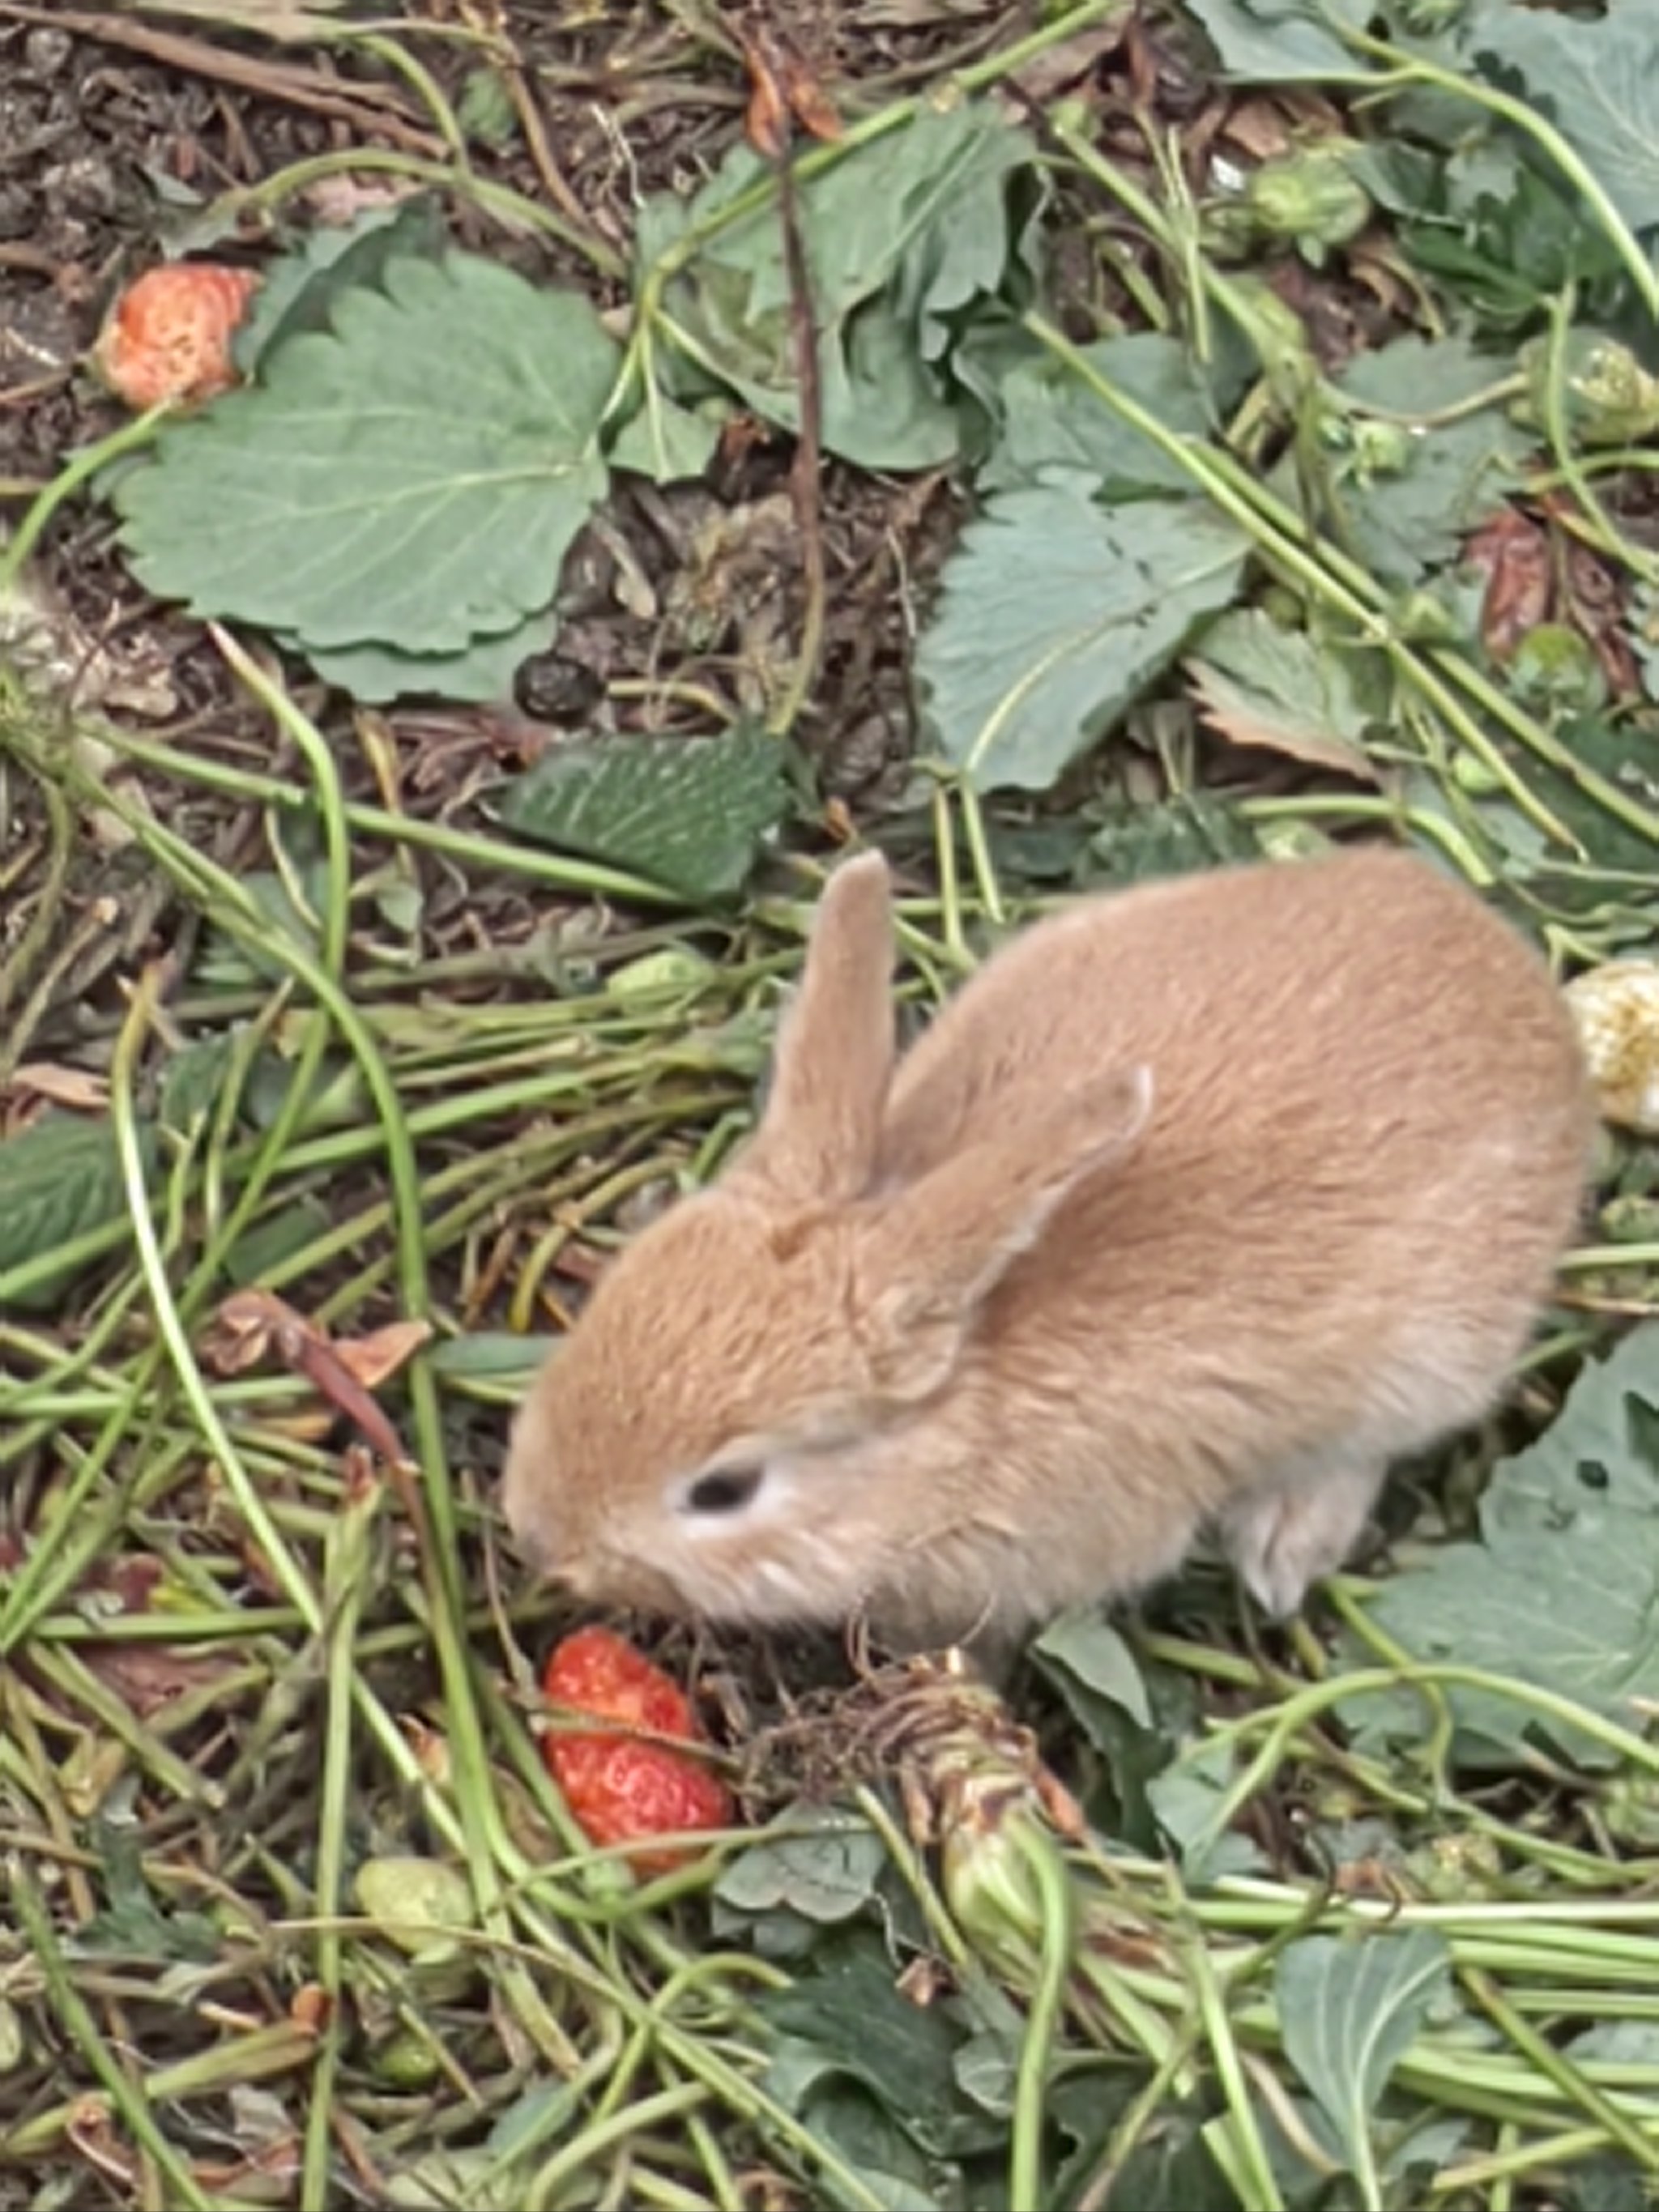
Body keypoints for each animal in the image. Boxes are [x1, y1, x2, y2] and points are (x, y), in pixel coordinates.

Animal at [497, 836, 1601, 1654]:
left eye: (723, 1490)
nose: (541, 1537)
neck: (962, 1409)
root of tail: (1518, 990)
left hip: (1425, 1359)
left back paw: (1280, 1552)